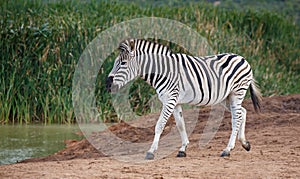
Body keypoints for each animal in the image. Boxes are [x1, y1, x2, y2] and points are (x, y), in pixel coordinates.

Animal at [106, 38, 262, 159]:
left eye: (123, 63)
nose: (107, 84)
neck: (164, 71)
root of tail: (242, 58)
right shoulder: (175, 102)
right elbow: (181, 125)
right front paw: (183, 149)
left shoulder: (169, 100)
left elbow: (159, 125)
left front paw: (151, 151)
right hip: (225, 97)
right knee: (242, 112)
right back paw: (244, 143)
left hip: (237, 92)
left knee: (236, 117)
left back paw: (227, 149)